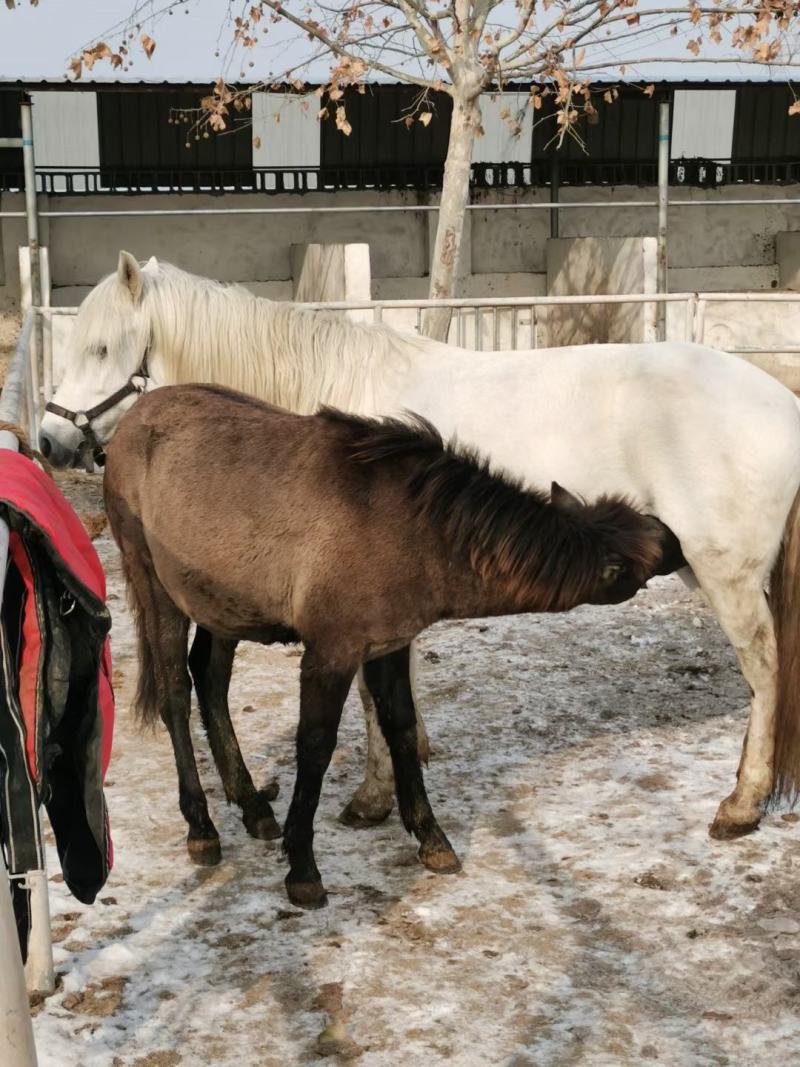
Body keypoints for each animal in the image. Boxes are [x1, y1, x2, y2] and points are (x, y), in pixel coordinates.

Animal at [39, 251, 800, 841]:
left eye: (102, 349)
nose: (48, 442)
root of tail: (781, 402)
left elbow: (372, 699)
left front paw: (374, 798)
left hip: (725, 575)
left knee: (766, 670)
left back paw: (742, 804)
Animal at [104, 382, 679, 907]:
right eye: (648, 555)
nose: (675, 539)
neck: (416, 527)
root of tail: (133, 418)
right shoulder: (331, 653)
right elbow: (315, 747)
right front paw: (302, 866)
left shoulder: (388, 645)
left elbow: (401, 728)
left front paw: (431, 836)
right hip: (155, 584)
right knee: (176, 694)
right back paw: (201, 827)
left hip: (220, 604)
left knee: (210, 681)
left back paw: (251, 805)